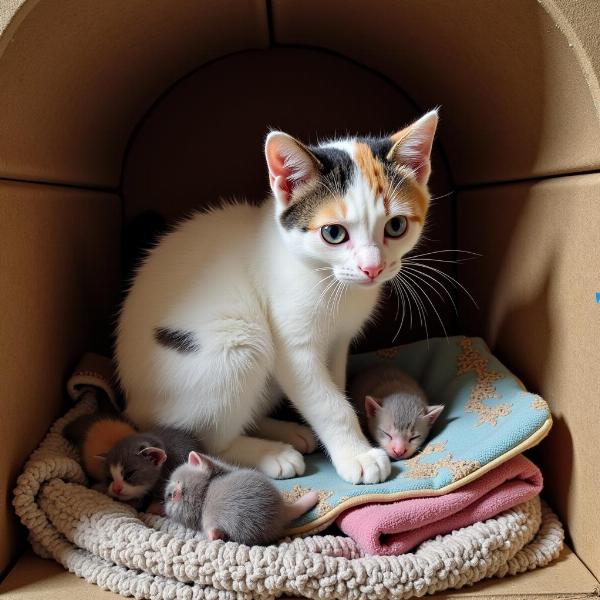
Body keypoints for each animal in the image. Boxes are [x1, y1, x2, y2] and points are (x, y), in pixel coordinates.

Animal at [115, 110, 438, 486]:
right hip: (239, 340)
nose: (371, 268)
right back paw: (271, 454)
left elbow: (333, 386)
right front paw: (357, 456)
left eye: (396, 226)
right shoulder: (292, 346)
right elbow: (328, 403)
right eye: (333, 233)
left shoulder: (338, 342)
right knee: (207, 440)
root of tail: (132, 406)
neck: (332, 283)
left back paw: (286, 431)